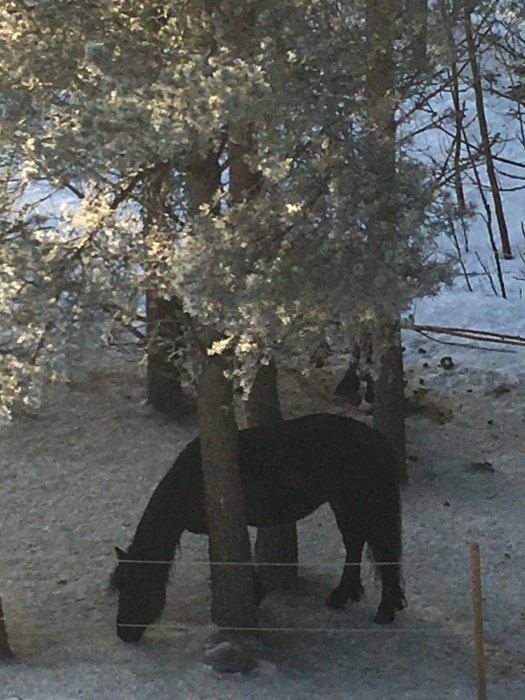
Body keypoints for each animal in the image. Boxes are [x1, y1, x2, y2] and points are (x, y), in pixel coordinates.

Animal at [111, 412, 406, 644]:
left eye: (134, 584)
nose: (123, 633)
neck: (190, 481)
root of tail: (377, 438)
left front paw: (255, 594)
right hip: (343, 503)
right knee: (355, 543)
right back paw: (343, 595)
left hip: (365, 503)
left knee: (382, 549)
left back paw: (385, 610)